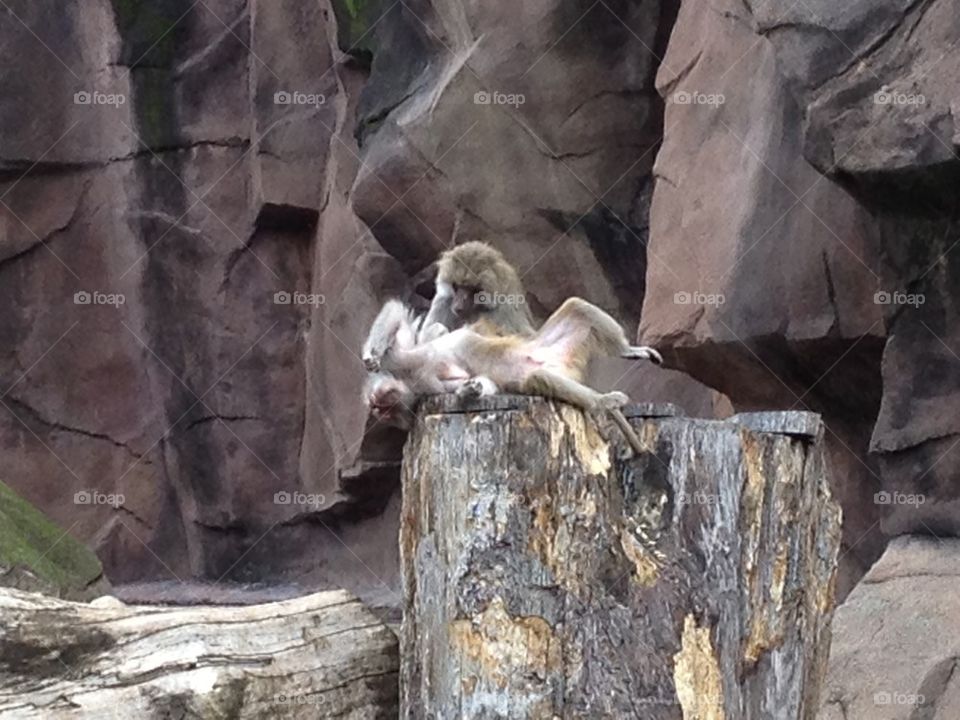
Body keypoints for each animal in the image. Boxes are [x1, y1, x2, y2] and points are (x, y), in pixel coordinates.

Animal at [363, 296, 663, 454]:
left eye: (381, 407)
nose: (379, 411)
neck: (409, 382)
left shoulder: (407, 363)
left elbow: (399, 322)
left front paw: (372, 353)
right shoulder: (425, 385)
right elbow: (482, 383)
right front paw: (469, 391)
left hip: (546, 344)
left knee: (576, 307)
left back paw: (624, 358)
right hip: (553, 364)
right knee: (541, 377)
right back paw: (600, 402)